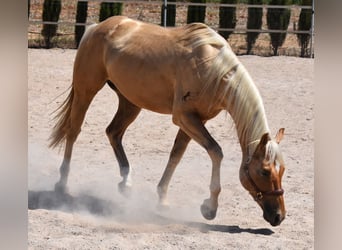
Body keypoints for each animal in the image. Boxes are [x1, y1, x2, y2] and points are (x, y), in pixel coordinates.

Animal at [49, 15, 288, 227]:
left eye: (282, 170)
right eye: (265, 171)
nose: (279, 216)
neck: (214, 70)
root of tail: (96, 27)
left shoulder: (195, 120)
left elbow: (176, 155)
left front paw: (162, 199)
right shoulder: (184, 117)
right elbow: (216, 151)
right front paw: (209, 208)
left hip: (130, 102)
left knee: (113, 133)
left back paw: (126, 183)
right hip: (86, 91)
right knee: (73, 131)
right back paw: (61, 184)